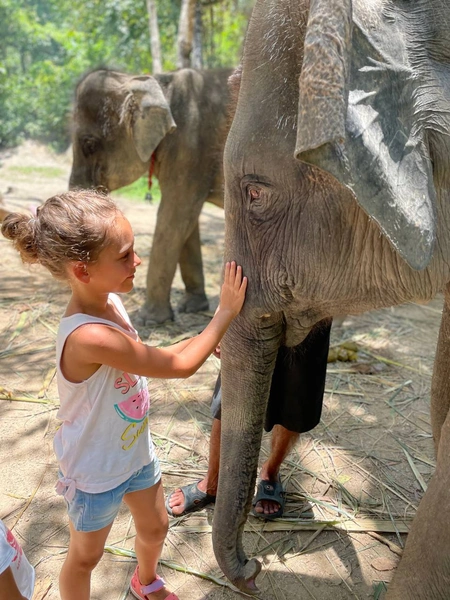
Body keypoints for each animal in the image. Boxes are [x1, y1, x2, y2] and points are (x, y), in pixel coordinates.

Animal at [71, 67, 234, 324]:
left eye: (89, 145)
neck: (157, 82)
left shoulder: (191, 148)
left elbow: (175, 215)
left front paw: (149, 319)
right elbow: (187, 222)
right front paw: (191, 307)